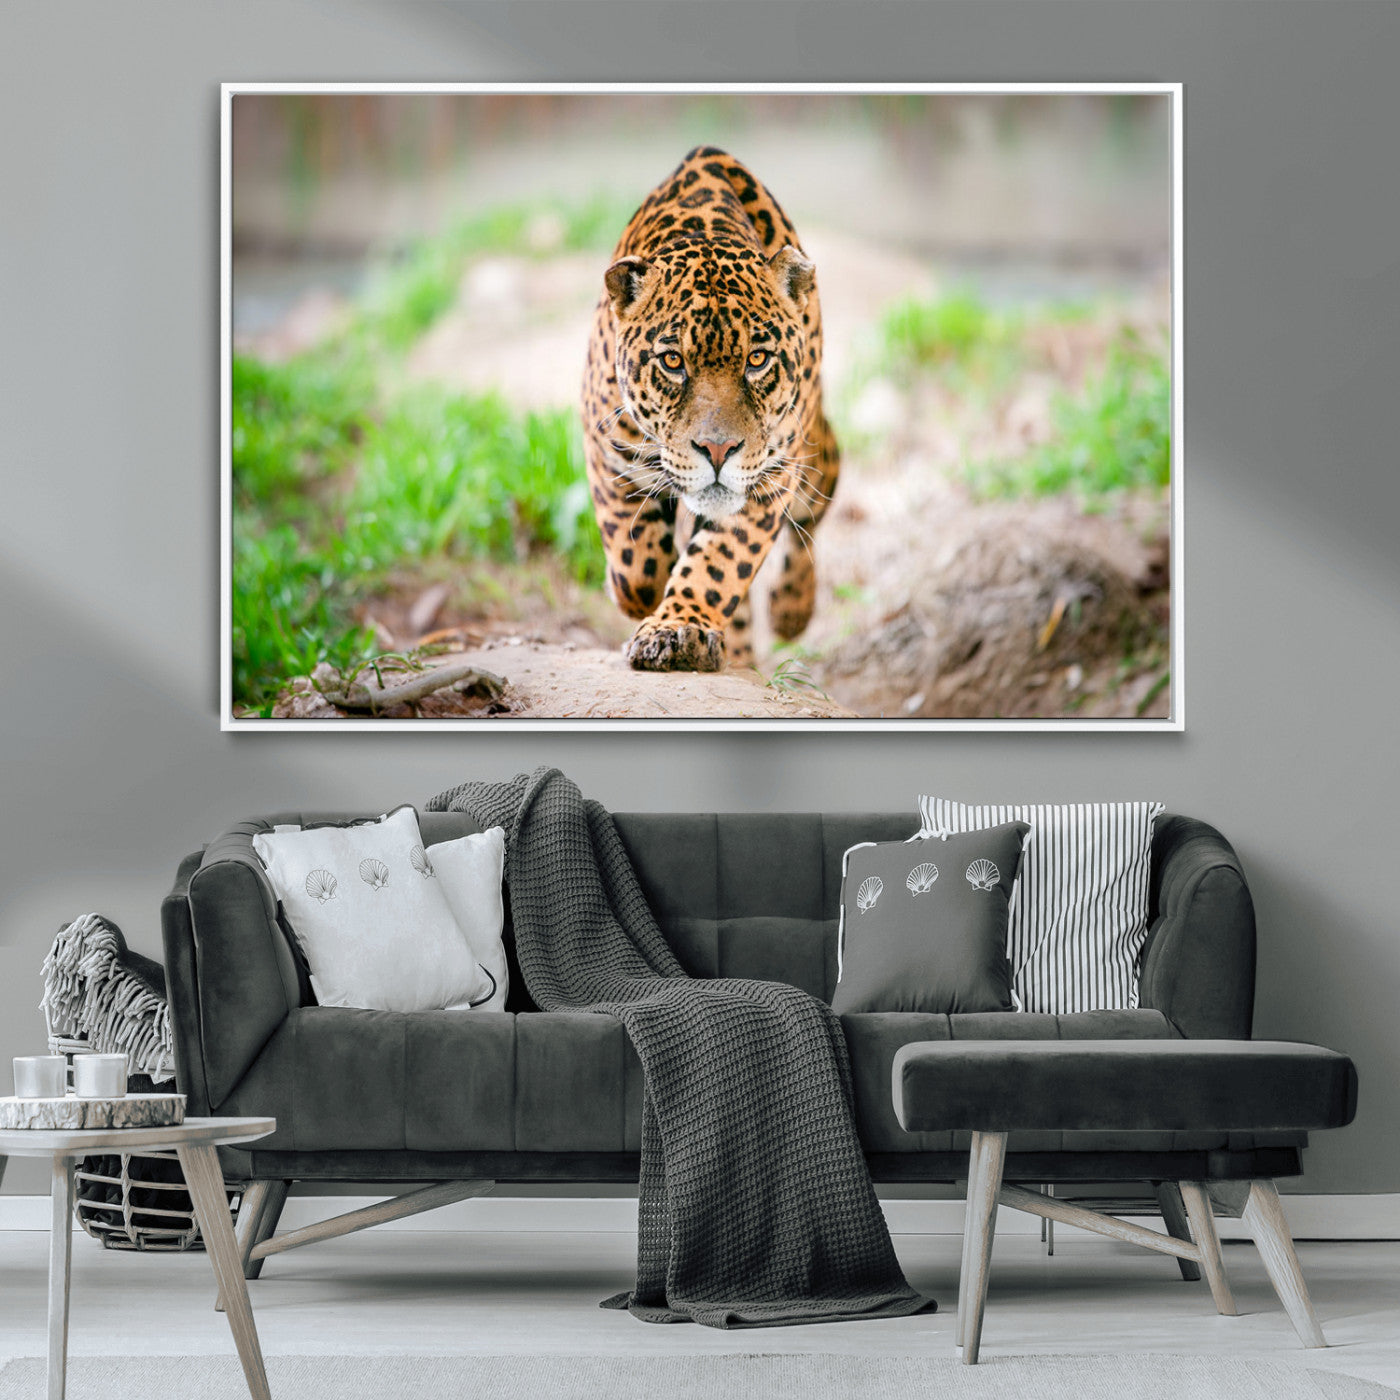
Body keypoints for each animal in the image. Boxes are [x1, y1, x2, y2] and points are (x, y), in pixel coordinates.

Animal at [580, 146, 840, 672]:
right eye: (672, 362)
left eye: (757, 360)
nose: (718, 451)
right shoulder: (606, 447)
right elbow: (635, 564)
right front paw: (640, 596)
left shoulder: (769, 478)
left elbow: (718, 564)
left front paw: (678, 628)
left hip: (813, 456)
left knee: (815, 506)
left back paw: (791, 610)